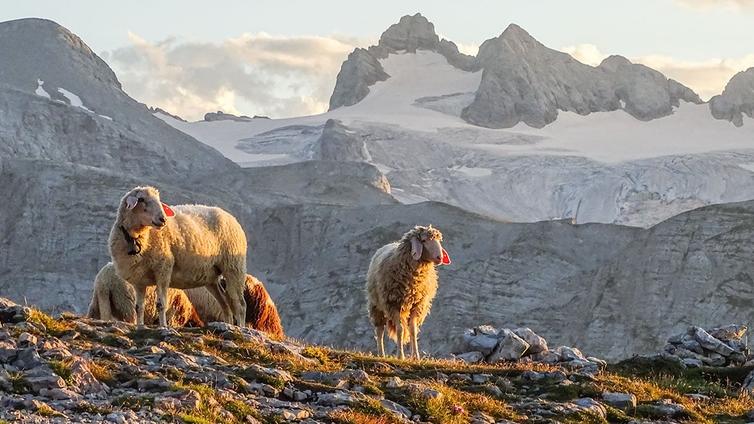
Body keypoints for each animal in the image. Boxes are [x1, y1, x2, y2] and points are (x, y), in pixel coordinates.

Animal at [108, 186, 247, 328]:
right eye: (141, 199)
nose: (163, 219)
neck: (140, 237)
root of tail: (229, 216)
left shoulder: (163, 269)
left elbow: (161, 304)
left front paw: (163, 326)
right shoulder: (139, 279)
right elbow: (138, 307)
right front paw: (140, 326)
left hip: (233, 266)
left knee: (240, 305)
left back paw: (241, 327)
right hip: (212, 276)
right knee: (225, 304)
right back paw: (228, 325)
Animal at [362, 224, 446, 360]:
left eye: (439, 240)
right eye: (424, 240)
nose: (440, 257)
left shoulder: (417, 305)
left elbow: (413, 330)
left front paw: (416, 356)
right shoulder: (394, 304)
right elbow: (400, 330)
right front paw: (400, 356)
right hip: (376, 305)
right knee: (379, 331)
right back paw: (381, 354)